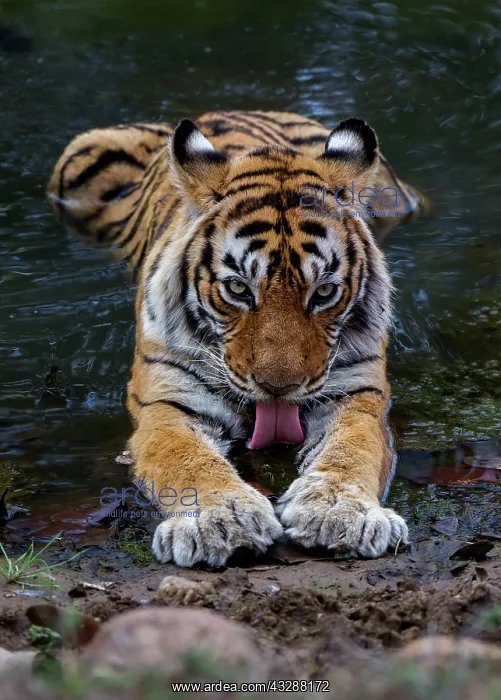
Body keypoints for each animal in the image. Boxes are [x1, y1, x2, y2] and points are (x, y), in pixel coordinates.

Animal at [47, 110, 424, 567]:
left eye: (324, 293)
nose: (279, 388)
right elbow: (186, 460)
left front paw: (340, 513)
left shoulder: (357, 394)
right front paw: (221, 520)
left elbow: (354, 450)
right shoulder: (167, 403)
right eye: (239, 289)